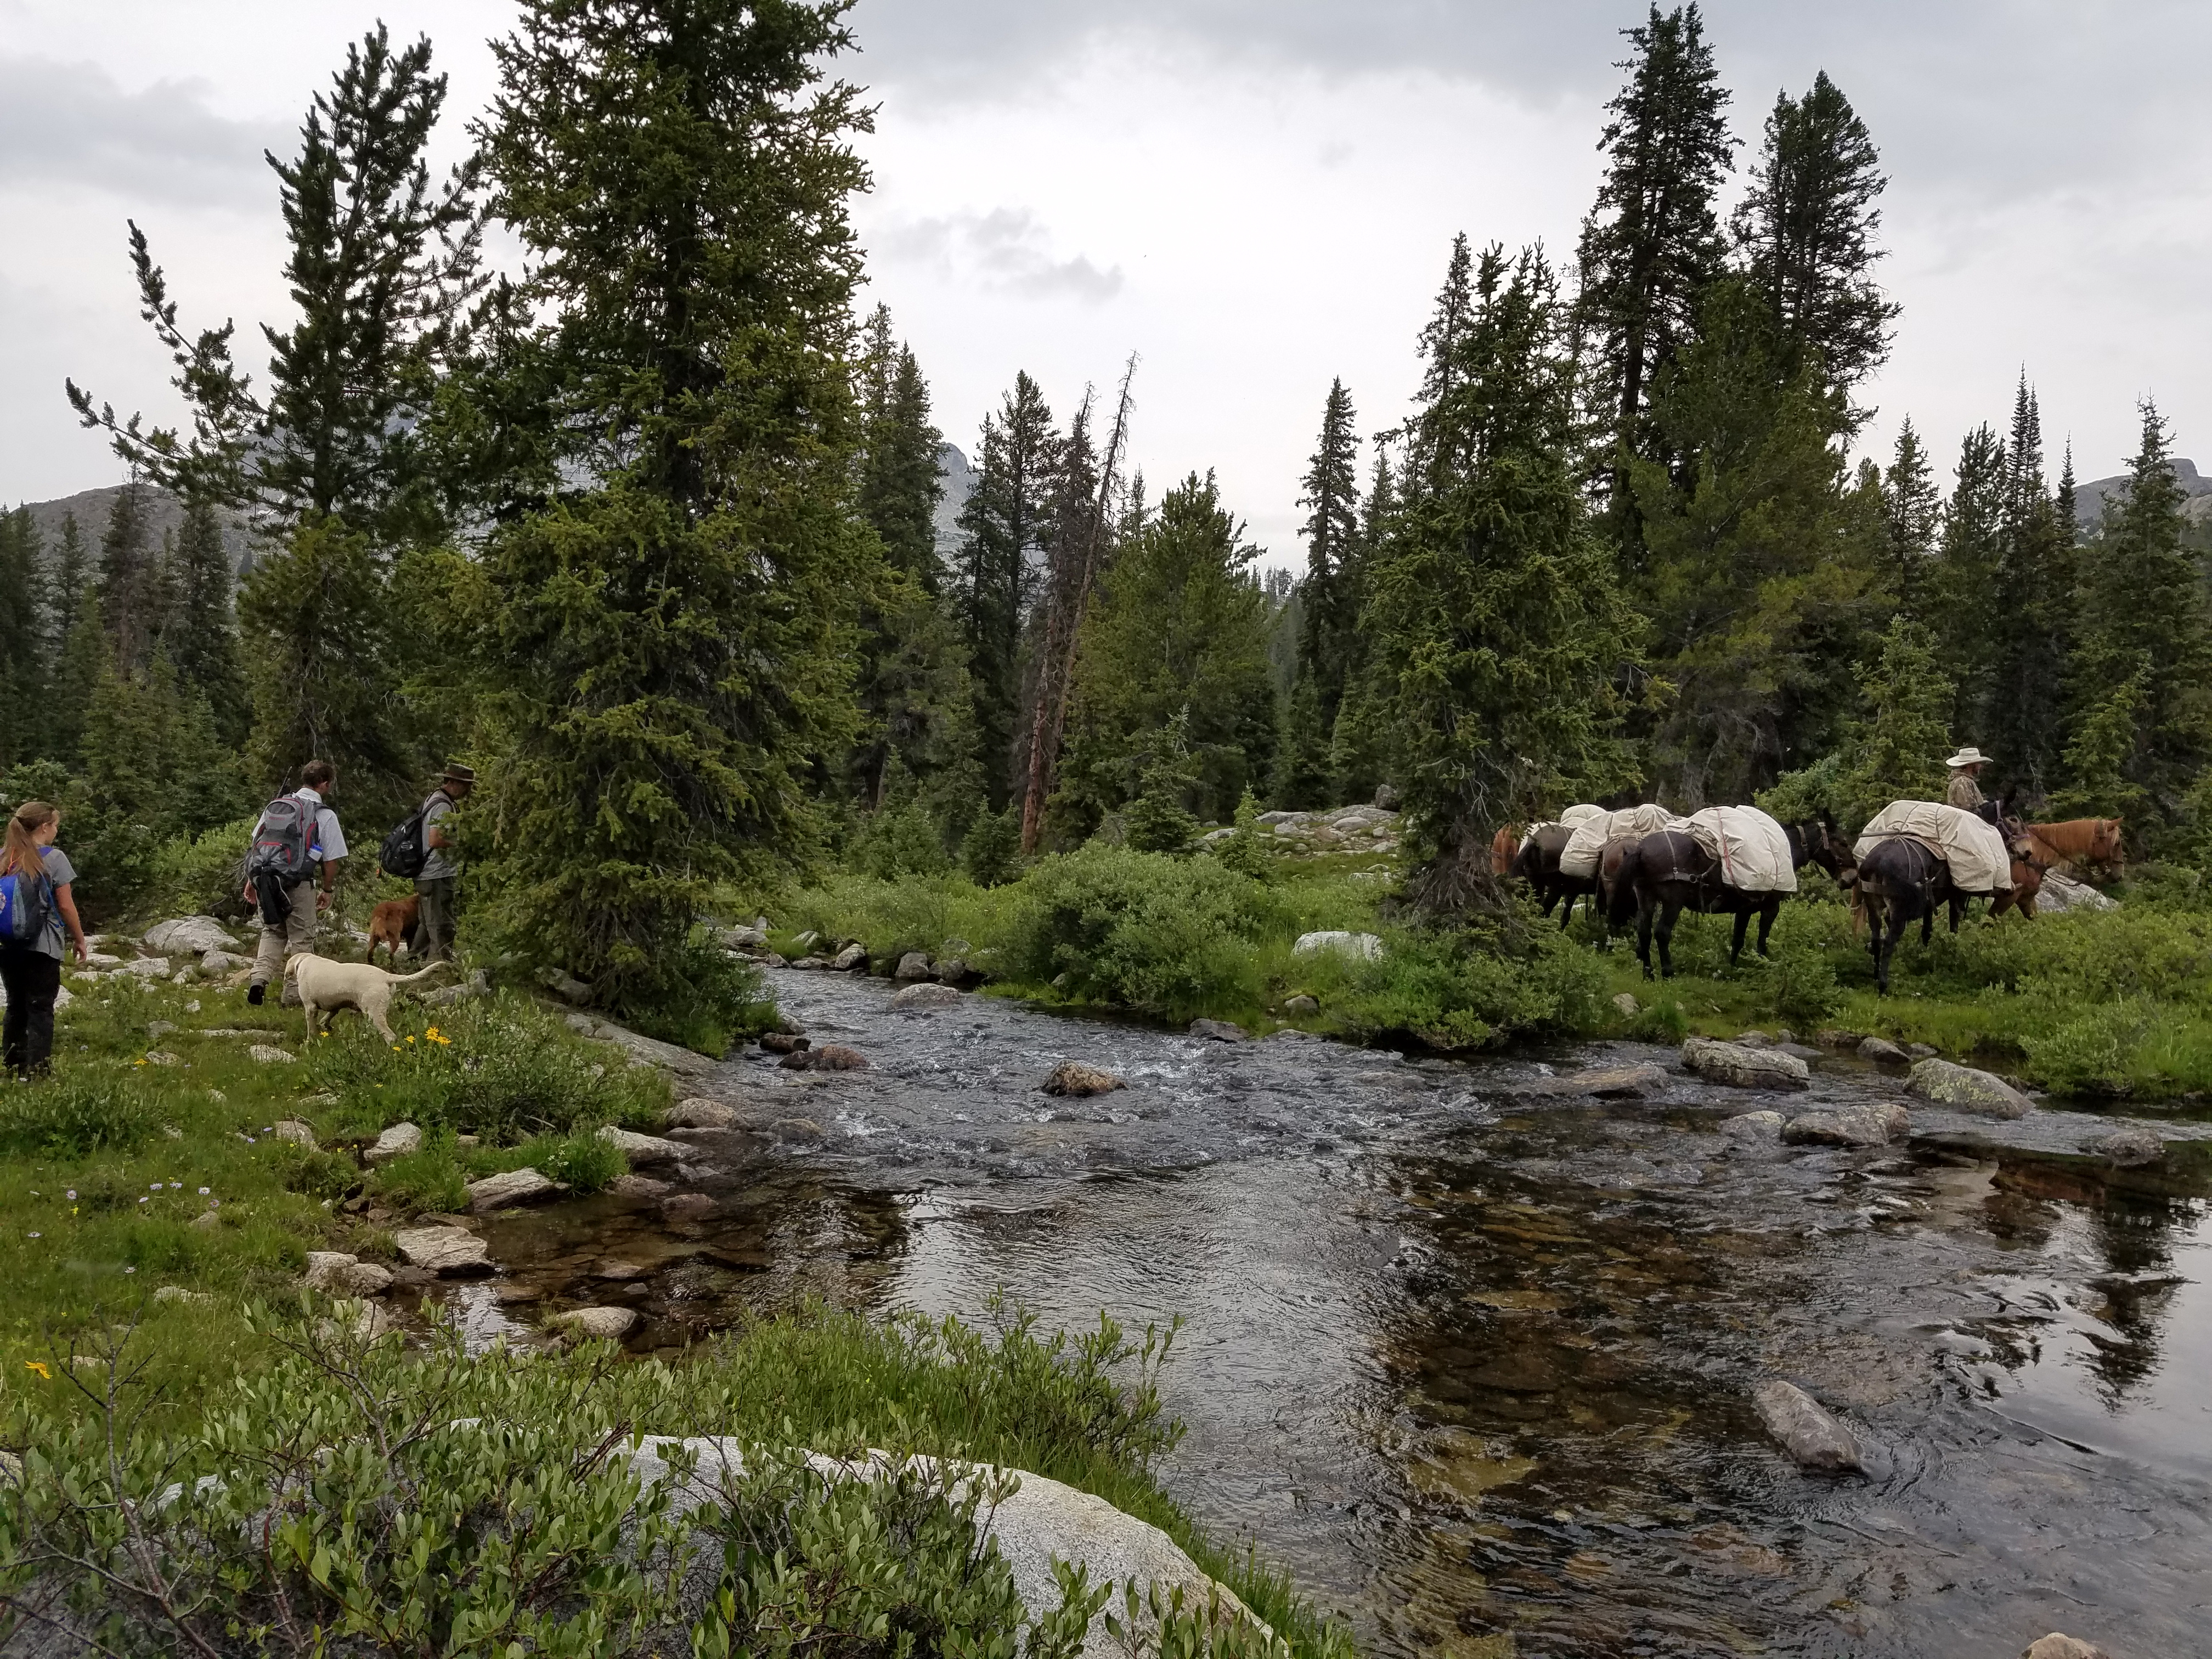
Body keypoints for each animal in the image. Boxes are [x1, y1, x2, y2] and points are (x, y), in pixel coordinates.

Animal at [290, 955, 453, 1044]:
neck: (305, 961)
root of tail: (387, 976)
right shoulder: (335, 1005)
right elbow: (328, 1018)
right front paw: (326, 1026)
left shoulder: (310, 1007)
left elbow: (311, 1028)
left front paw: (309, 1042)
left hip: (374, 1013)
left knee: (390, 1036)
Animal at [365, 898, 420, 973]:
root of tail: (381, 909)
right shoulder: (412, 936)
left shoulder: (409, 937)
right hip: (395, 937)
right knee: (390, 955)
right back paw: (394, 970)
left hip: (374, 936)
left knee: (370, 952)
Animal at [1610, 827, 1849, 982]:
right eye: (1843, 843)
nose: (1852, 877)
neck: (1781, 853)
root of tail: (1641, 849)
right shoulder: (1769, 908)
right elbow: (1760, 939)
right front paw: (1761, 965)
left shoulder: (1744, 910)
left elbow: (1737, 939)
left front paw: (1731, 969)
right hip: (1672, 902)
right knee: (1662, 932)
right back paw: (1668, 972)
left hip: (1646, 897)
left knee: (1644, 931)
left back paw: (1648, 973)